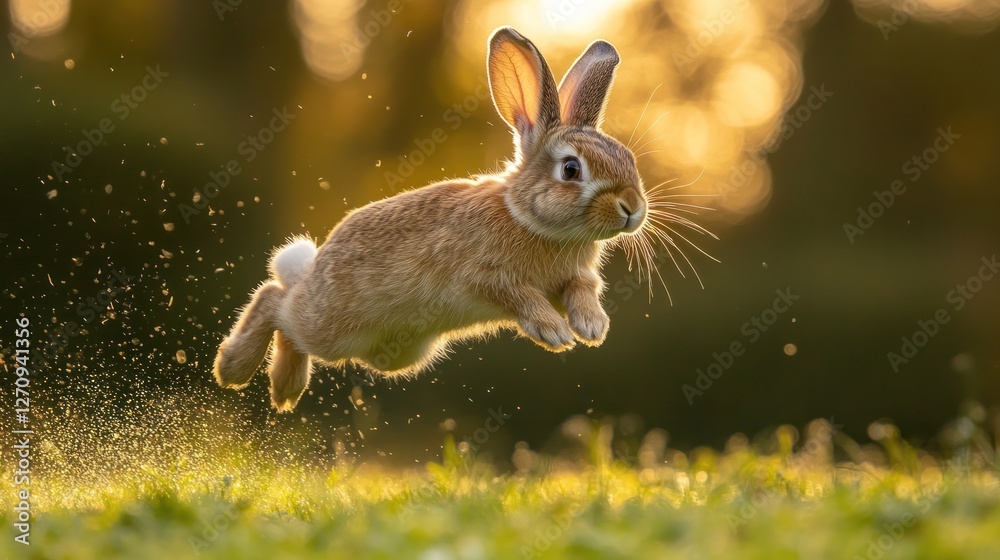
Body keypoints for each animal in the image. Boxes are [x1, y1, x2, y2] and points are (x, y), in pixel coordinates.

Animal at [214, 26, 651, 412]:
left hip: (395, 354)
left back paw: (283, 388)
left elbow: (582, 290)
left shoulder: (576, 278)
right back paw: (238, 369)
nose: (633, 208)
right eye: (572, 170)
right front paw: (555, 332)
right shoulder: (486, 277)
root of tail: (316, 267)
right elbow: (520, 296)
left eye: (628, 158)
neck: (528, 218)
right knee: (276, 300)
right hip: (330, 326)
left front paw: (592, 327)